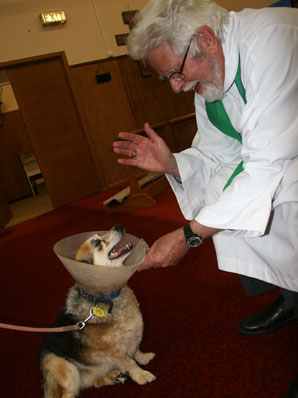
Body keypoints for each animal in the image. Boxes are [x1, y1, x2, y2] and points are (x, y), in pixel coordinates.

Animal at [39, 225, 156, 396]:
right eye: (97, 243)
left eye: (99, 236)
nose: (118, 226)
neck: (107, 297)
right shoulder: (113, 352)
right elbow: (130, 362)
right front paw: (141, 375)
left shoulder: (133, 337)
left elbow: (135, 351)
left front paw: (144, 357)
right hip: (65, 369)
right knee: (68, 392)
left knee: (95, 383)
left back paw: (114, 377)